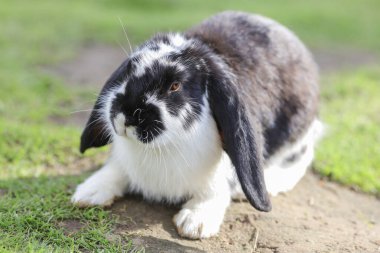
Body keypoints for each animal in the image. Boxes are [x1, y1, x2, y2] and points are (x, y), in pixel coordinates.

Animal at [72, 11, 324, 239]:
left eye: (175, 86)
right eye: (129, 72)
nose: (126, 115)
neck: (160, 148)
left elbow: (216, 190)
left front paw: (196, 223)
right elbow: (116, 169)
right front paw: (87, 193)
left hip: (297, 131)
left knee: (302, 155)